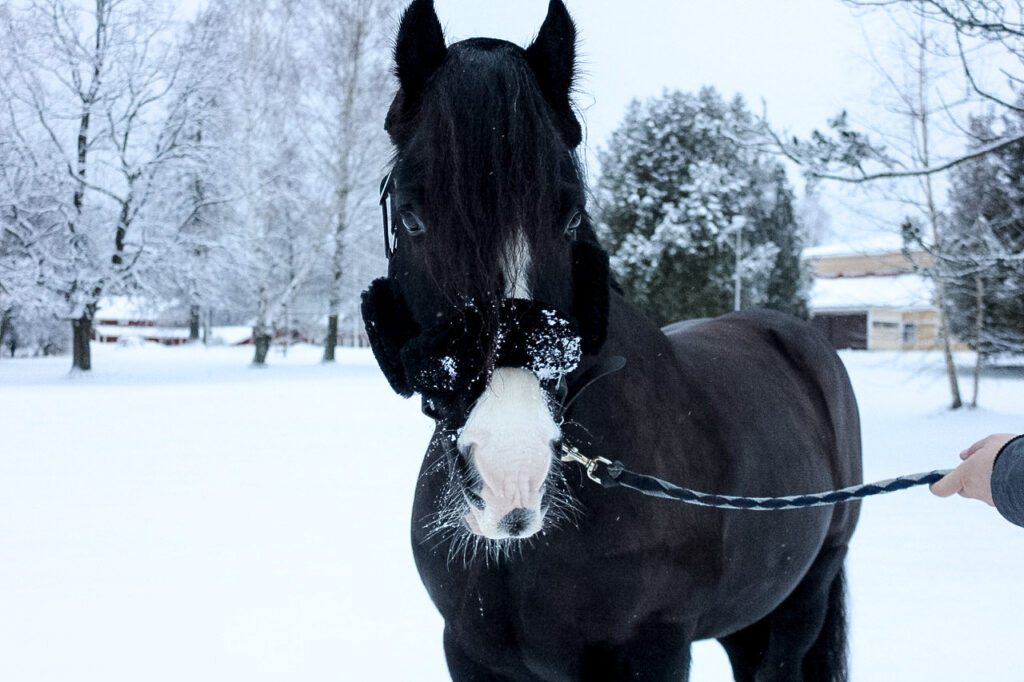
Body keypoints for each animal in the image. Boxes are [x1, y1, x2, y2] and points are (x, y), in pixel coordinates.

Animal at [364, 2, 860, 675]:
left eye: (571, 215)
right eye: (413, 216)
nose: (512, 473)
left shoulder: (656, 648)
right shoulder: (467, 651)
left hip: (805, 595)